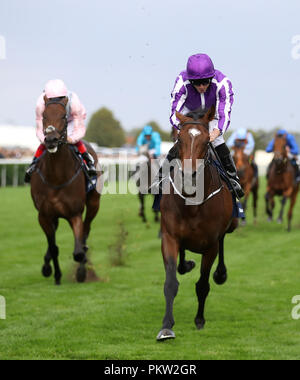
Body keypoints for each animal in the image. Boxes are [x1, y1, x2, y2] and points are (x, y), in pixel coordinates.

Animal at [30, 96, 101, 284]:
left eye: (63, 116)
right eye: (44, 115)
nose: (51, 140)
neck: (56, 177)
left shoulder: (74, 214)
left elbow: (78, 250)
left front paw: (81, 271)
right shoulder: (44, 215)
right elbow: (53, 246)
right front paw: (54, 273)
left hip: (94, 204)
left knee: (86, 230)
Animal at [158, 107, 238, 342]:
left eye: (206, 141)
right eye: (179, 140)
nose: (188, 175)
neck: (192, 202)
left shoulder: (210, 245)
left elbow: (202, 285)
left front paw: (199, 320)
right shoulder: (169, 237)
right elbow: (170, 283)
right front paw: (166, 327)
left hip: (230, 226)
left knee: (223, 241)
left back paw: (220, 273)